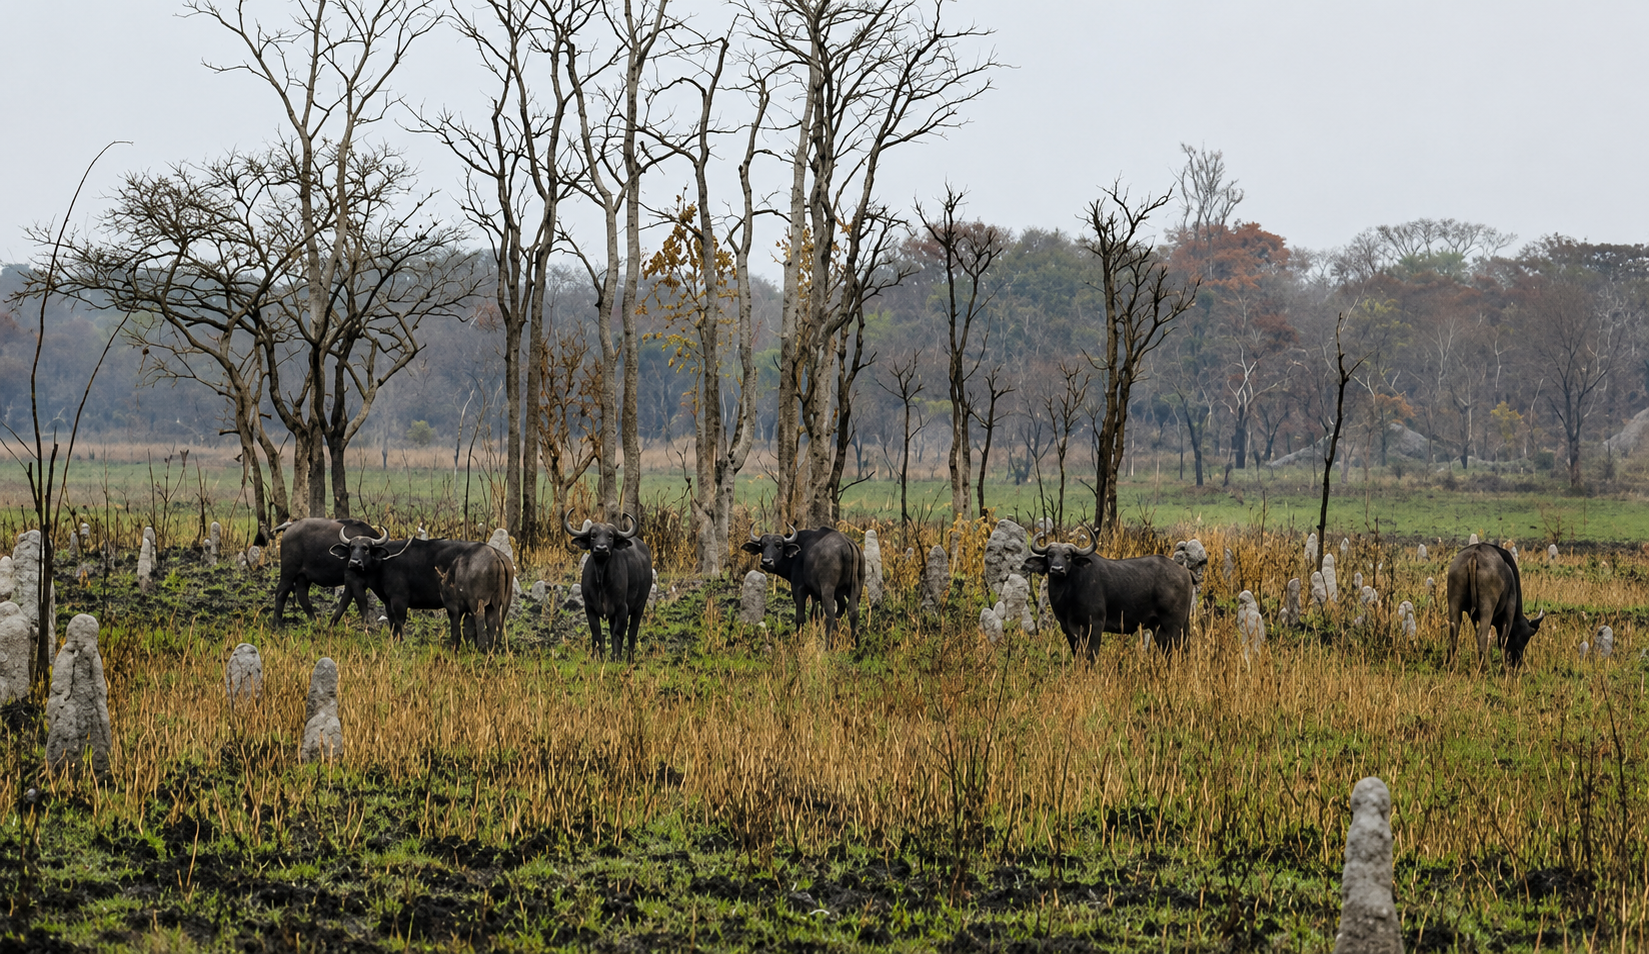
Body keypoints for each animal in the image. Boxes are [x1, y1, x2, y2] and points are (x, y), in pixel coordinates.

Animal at [336, 530, 516, 649]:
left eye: (366, 548)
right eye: (352, 547)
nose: (354, 563)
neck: (385, 562)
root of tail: (496, 555)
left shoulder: (399, 600)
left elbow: (399, 623)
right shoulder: (388, 603)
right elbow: (393, 625)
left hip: (477, 604)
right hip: (495, 605)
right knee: (493, 627)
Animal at [565, 512, 652, 661]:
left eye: (610, 536)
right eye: (593, 535)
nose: (601, 549)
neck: (602, 582)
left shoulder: (622, 608)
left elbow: (618, 633)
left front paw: (617, 657)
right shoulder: (590, 608)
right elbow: (597, 633)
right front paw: (597, 656)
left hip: (640, 606)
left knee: (632, 632)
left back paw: (630, 659)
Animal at [1020, 527, 1193, 658]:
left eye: (1067, 556)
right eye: (1050, 555)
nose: (1057, 569)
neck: (1069, 594)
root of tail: (1185, 572)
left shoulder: (1095, 624)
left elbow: (1091, 654)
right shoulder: (1068, 628)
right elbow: (1078, 654)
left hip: (1174, 625)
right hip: (1159, 627)